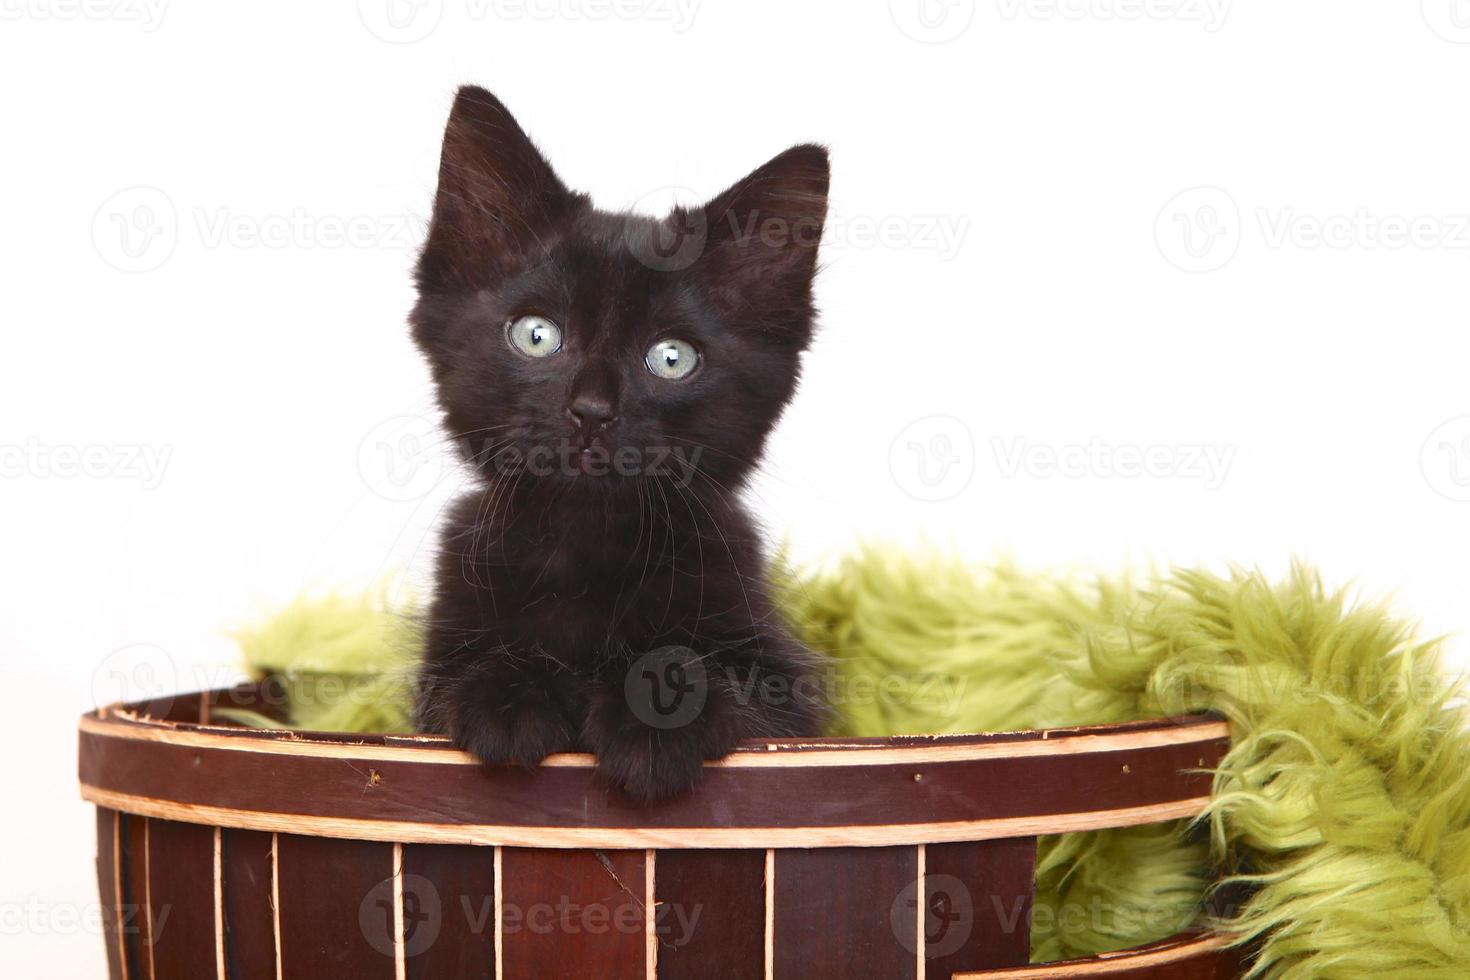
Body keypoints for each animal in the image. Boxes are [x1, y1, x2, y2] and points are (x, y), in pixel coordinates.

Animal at [408, 86, 834, 805]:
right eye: (537, 335)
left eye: (671, 358)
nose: (592, 412)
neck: (588, 546)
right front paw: (507, 697)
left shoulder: (787, 688)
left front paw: (656, 711)